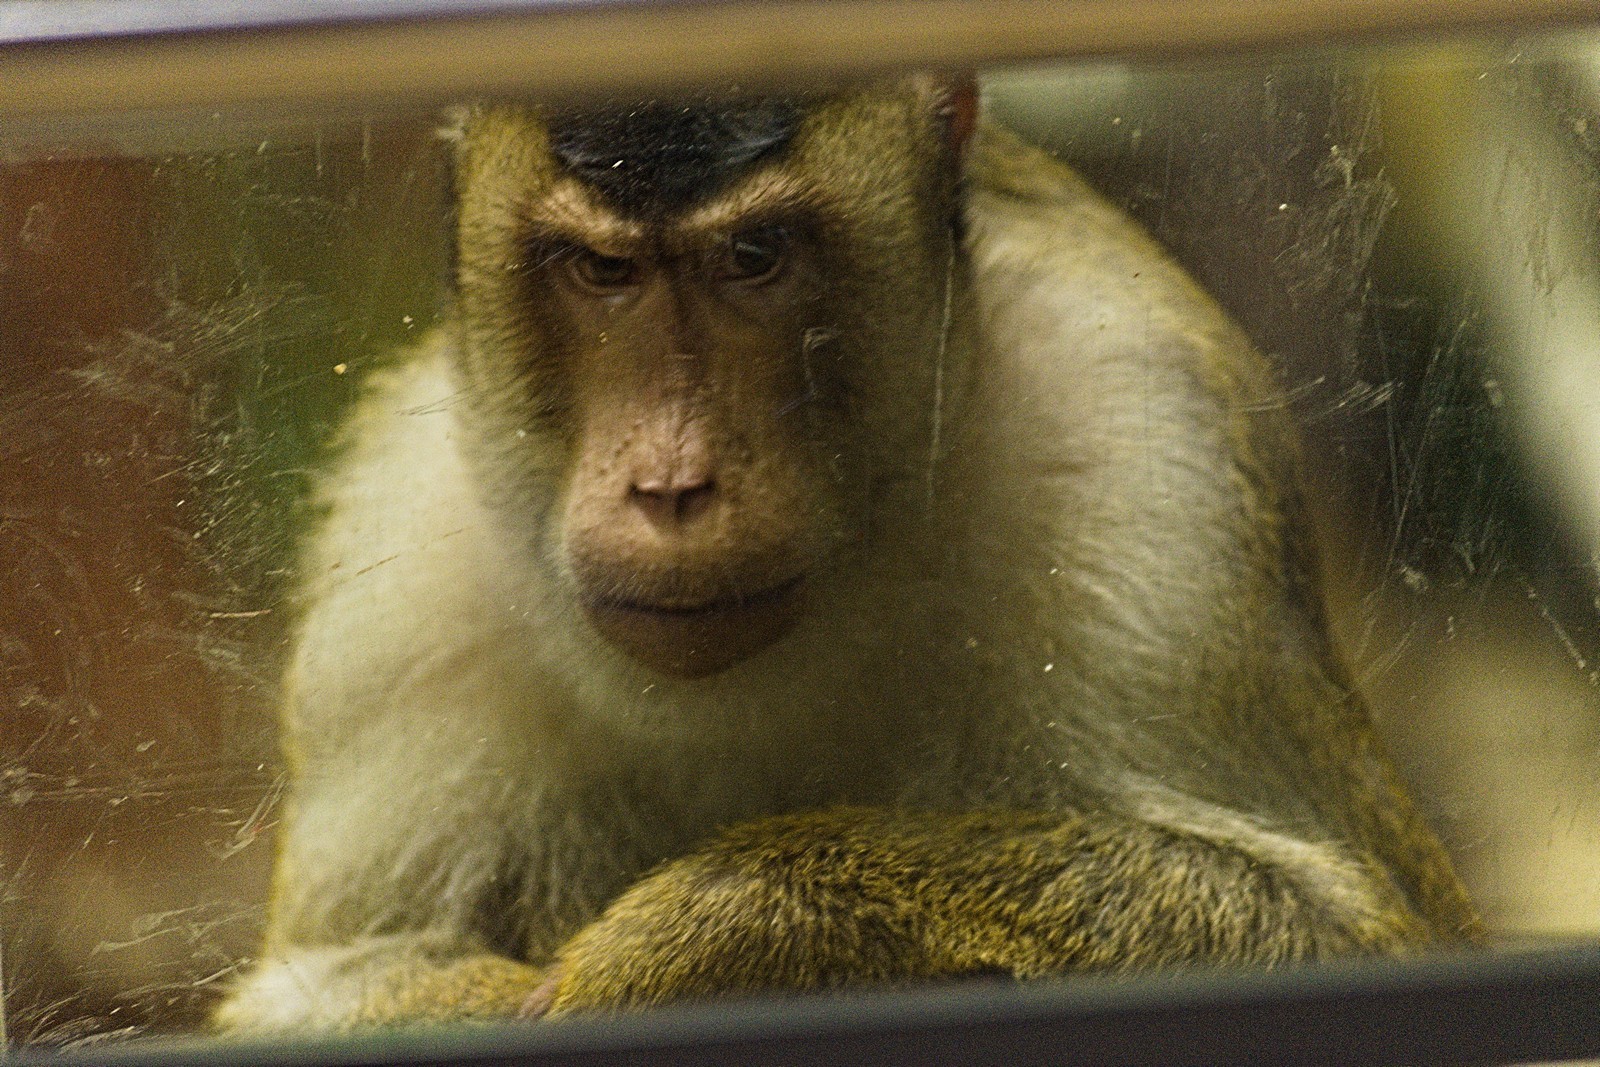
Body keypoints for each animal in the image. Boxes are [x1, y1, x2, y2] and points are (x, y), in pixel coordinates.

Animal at [212, 75, 1472, 1036]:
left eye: (755, 255)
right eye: (601, 271)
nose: (671, 484)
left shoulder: (1155, 462)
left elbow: (1340, 932)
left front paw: (726, 929)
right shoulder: (393, 582)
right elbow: (322, 984)